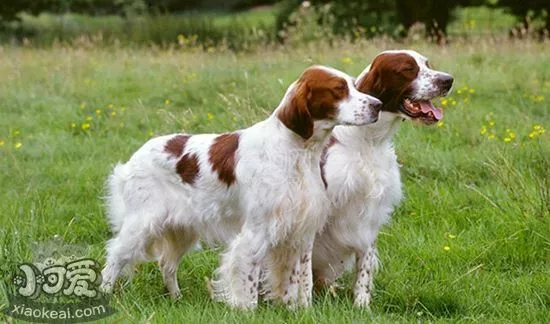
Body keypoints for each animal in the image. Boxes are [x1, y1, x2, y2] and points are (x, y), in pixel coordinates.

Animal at [99, 65, 384, 308]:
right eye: (339, 89)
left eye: (354, 85)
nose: (378, 105)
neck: (295, 152)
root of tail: (134, 158)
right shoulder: (256, 232)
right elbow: (248, 282)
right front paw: (247, 310)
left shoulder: (301, 232)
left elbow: (301, 280)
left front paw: (301, 310)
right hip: (141, 224)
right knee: (113, 259)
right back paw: (104, 295)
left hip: (182, 229)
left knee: (166, 265)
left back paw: (176, 298)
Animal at [312, 50, 454, 306]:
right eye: (408, 69)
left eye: (427, 64)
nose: (448, 80)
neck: (369, 140)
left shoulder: (370, 214)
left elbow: (364, 269)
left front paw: (361, 305)